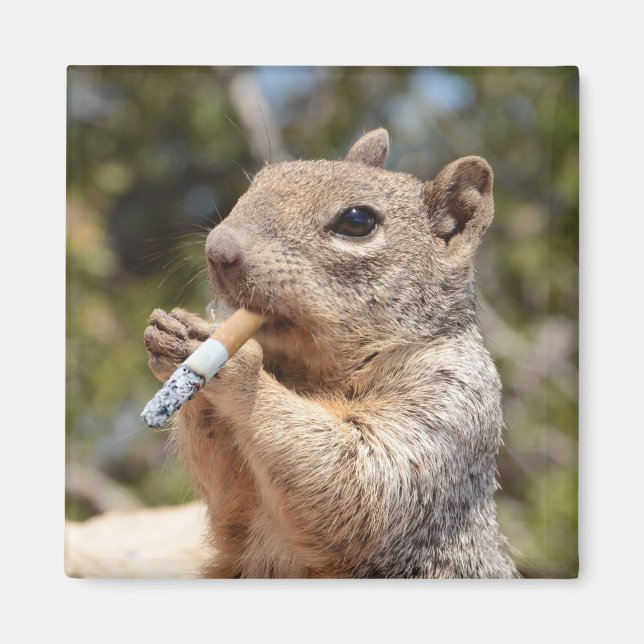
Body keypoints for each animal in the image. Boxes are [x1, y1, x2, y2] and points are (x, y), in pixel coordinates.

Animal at [144, 128, 518, 578]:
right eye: (260, 180)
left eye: (357, 221)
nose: (218, 251)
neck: (312, 373)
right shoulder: (240, 509)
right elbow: (228, 494)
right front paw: (175, 331)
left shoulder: (452, 402)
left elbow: (363, 483)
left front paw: (233, 361)